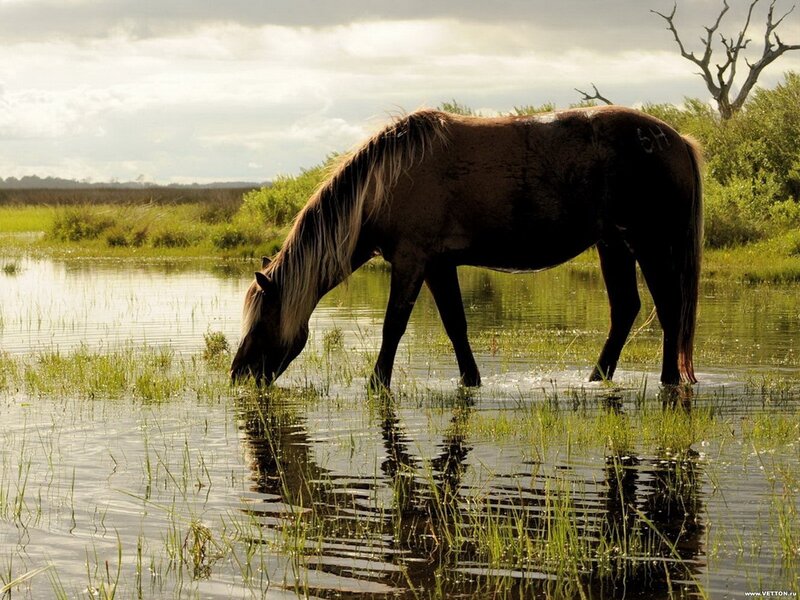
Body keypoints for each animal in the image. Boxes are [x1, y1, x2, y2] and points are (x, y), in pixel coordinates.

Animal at [230, 106, 703, 389]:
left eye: (262, 320)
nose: (238, 374)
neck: (386, 181)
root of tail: (677, 139)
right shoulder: (439, 266)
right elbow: (455, 325)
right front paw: (470, 381)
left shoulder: (411, 261)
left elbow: (393, 326)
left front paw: (377, 383)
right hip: (614, 244)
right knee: (626, 309)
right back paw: (596, 378)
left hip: (649, 243)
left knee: (669, 307)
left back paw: (668, 381)